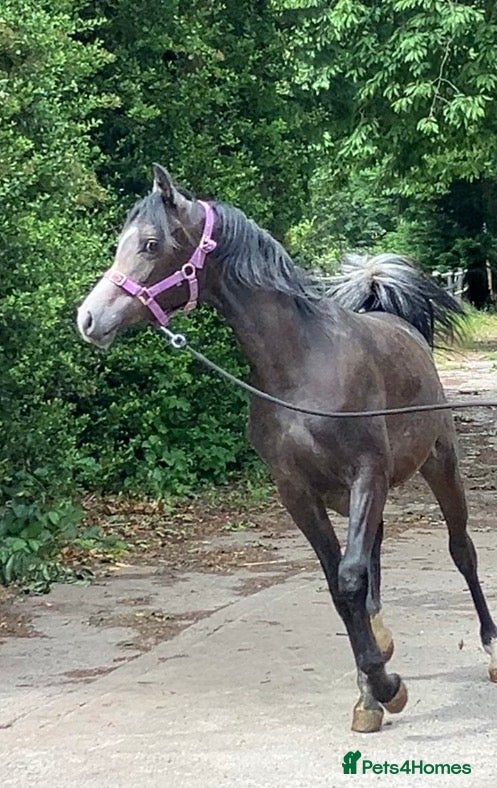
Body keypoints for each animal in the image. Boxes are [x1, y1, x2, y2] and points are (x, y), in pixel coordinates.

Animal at [77, 164, 497, 733]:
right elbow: (340, 585)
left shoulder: (366, 474)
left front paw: (385, 688)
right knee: (375, 551)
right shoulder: (298, 492)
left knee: (461, 551)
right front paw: (373, 691)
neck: (301, 367)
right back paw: (382, 638)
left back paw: (490, 649)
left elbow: (349, 578)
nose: (88, 319)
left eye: (150, 244)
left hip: (440, 466)